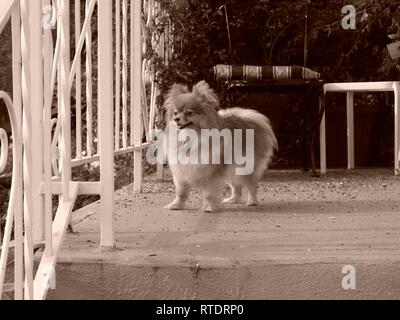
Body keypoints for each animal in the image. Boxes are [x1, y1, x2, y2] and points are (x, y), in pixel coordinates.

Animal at [162, 80, 278, 211]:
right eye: (175, 113)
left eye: (188, 113)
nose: (176, 119)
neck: (191, 137)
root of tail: (252, 120)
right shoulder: (181, 171)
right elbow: (180, 192)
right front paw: (176, 205)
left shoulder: (211, 174)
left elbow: (209, 193)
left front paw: (208, 207)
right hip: (231, 169)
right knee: (236, 186)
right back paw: (232, 200)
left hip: (244, 167)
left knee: (252, 185)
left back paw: (252, 201)